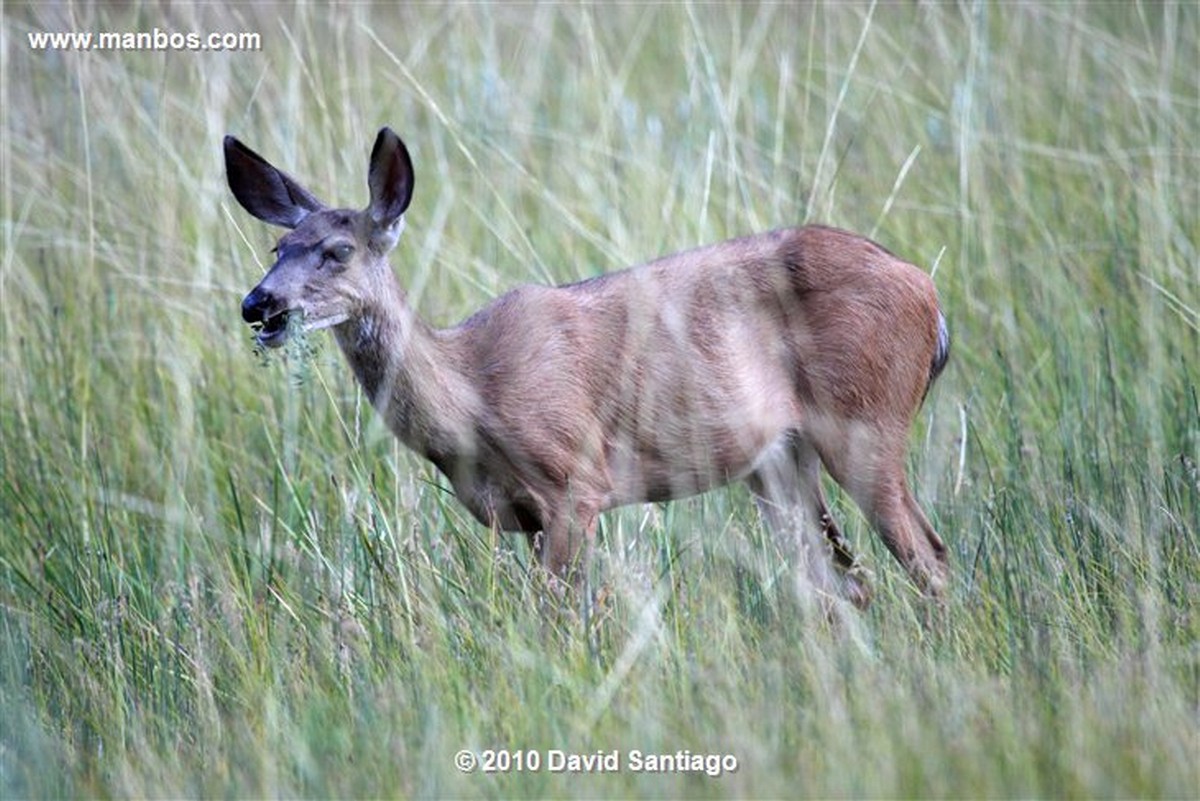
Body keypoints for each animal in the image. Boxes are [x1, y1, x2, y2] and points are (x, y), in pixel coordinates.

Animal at [225, 128, 950, 609]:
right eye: (278, 246)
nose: (258, 305)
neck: (472, 395)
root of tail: (928, 293)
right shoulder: (524, 515)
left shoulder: (574, 477)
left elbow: (562, 615)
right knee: (846, 581)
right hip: (778, 461)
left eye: (337, 250)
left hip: (866, 417)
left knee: (928, 556)